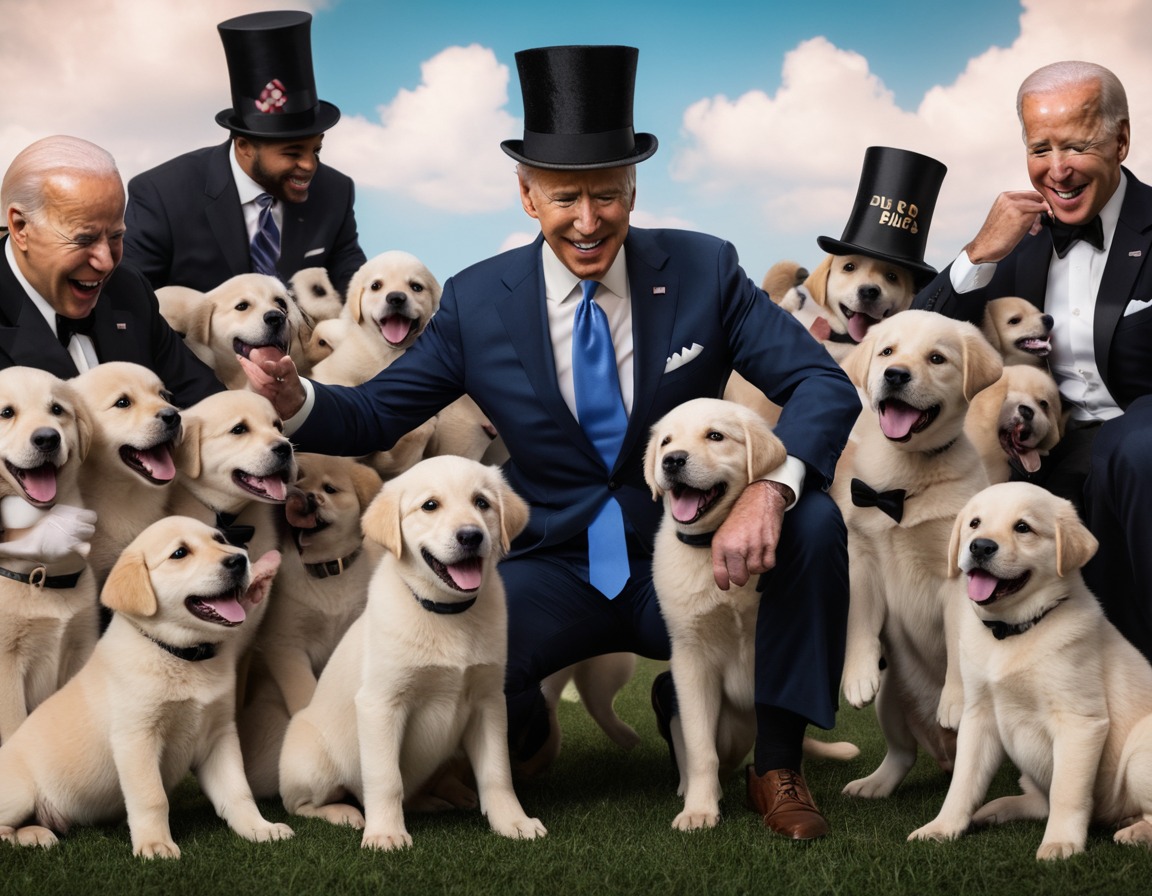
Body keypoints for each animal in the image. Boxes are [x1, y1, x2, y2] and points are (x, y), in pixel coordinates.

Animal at [0, 513, 292, 856]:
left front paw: (259, 828)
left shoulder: (220, 735)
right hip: (20, 792)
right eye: (180, 553)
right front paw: (155, 844)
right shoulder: (137, 737)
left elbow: (237, 791)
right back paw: (34, 835)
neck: (181, 655)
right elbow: (152, 797)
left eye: (220, 540)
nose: (239, 560)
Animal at [281, 458, 546, 847]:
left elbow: (498, 773)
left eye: (482, 503)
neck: (446, 612)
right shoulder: (381, 704)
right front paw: (386, 834)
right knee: (302, 805)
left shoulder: (489, 701)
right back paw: (346, 813)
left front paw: (513, 821)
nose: (471, 536)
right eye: (430, 506)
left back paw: (439, 799)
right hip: (312, 762)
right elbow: (386, 779)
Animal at [649, 393, 857, 829]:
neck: (711, 544)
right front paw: (699, 808)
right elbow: (700, 747)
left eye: (715, 436)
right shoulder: (691, 657)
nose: (672, 461)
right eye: (665, 442)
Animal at [834, 308, 1004, 796]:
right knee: (902, 753)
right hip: (892, 700)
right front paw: (857, 674)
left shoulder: (959, 579)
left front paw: (954, 699)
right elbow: (858, 621)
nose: (895, 374)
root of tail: (942, 752)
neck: (904, 479)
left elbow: (956, 640)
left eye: (936, 358)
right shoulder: (861, 561)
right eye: (887, 351)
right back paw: (874, 784)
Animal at [907, 486, 1152, 856]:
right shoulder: (978, 717)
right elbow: (963, 783)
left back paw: (1136, 831)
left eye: (1023, 527)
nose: (980, 546)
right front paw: (941, 827)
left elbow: (1067, 791)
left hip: (1139, 754)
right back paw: (993, 810)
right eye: (974, 523)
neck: (1013, 632)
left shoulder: (1080, 721)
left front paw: (1061, 843)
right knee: (1039, 802)